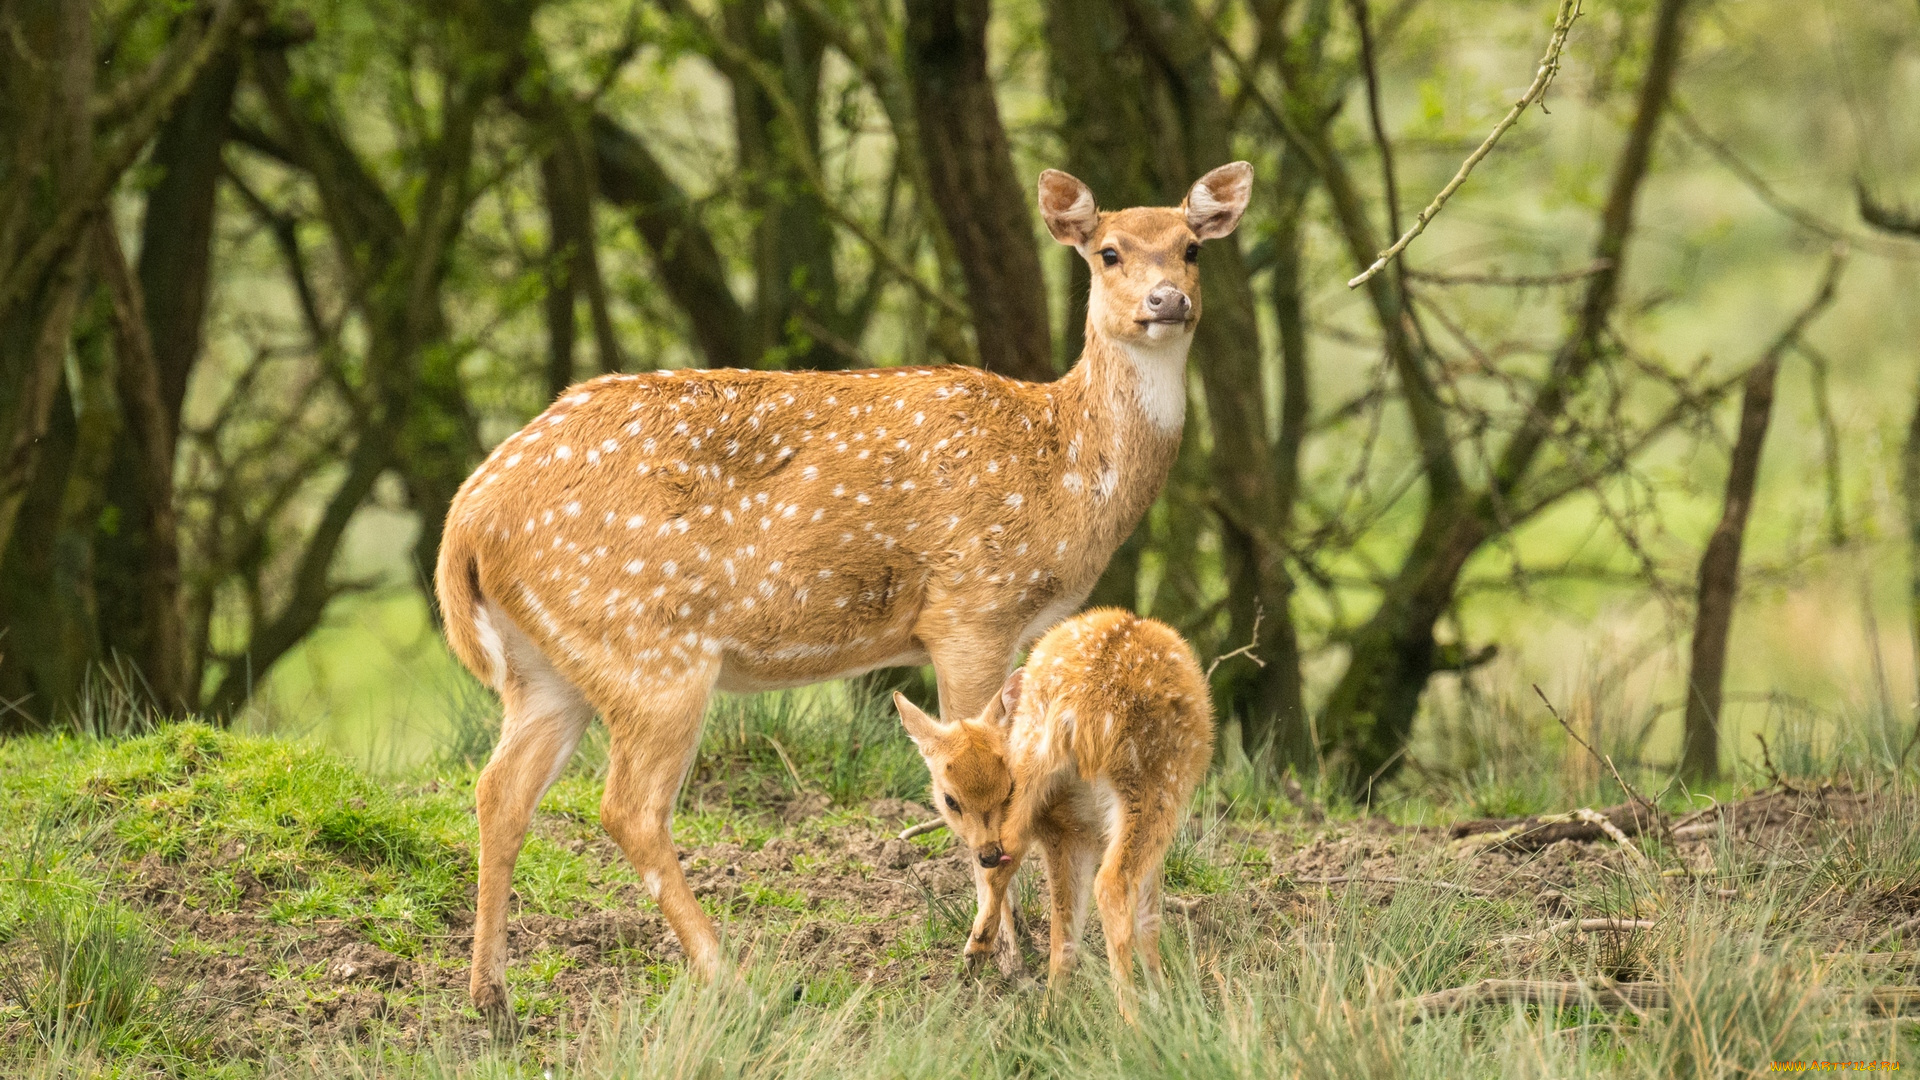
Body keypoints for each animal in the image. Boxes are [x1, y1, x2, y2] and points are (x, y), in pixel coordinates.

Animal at [432, 161, 1259, 1022]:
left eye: (1192, 247)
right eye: (1107, 252)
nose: (1167, 300)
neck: (1063, 474)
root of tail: (469, 518)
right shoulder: (971, 606)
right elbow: (979, 770)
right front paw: (1001, 957)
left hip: (550, 665)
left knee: (500, 791)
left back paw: (491, 997)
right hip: (651, 648)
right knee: (628, 808)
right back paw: (732, 978)